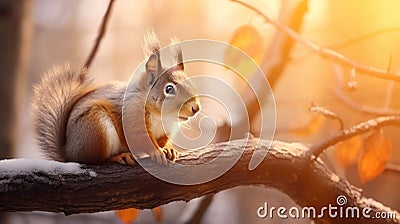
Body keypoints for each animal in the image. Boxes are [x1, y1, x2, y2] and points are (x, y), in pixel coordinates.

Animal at [32, 30, 200, 165]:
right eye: (169, 88)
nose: (196, 108)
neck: (162, 117)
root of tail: (69, 152)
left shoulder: (166, 130)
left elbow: (163, 140)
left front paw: (169, 149)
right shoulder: (132, 117)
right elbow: (140, 139)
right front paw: (157, 152)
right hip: (95, 128)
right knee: (96, 160)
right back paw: (119, 157)